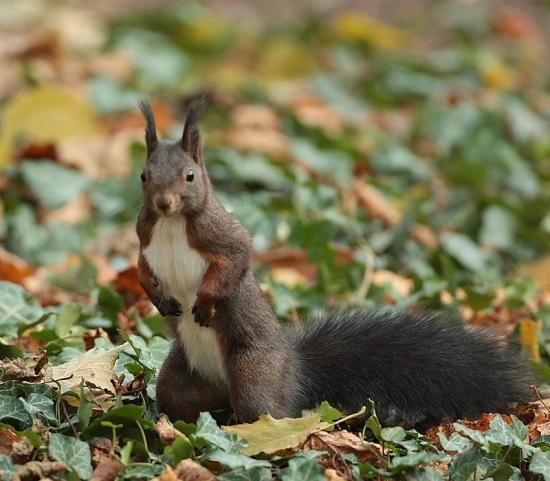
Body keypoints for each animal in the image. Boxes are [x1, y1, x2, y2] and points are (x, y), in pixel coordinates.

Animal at [136, 96, 532, 424]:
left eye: (190, 176)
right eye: (143, 175)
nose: (164, 203)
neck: (172, 223)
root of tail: (296, 370)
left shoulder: (223, 235)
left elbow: (236, 259)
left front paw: (204, 302)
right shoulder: (144, 238)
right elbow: (142, 269)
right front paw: (159, 298)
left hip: (253, 374)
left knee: (270, 414)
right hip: (180, 377)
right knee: (180, 401)